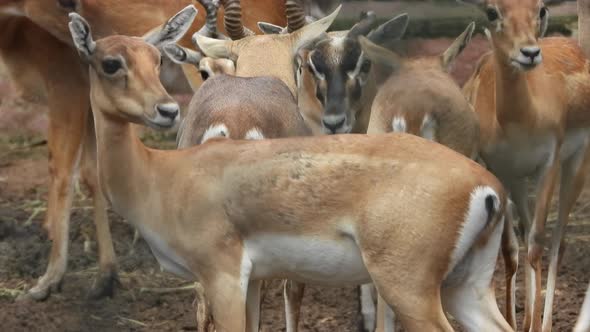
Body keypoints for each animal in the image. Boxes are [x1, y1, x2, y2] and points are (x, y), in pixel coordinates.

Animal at [0, 0, 290, 302]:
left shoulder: (66, 86)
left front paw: (47, 281)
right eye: (111, 63)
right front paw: (104, 277)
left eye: (158, 60)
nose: (168, 110)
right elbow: (92, 174)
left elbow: (62, 170)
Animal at [69, 11, 516, 330]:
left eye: (156, 58)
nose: (165, 110)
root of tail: (487, 189)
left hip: (416, 289)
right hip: (460, 287)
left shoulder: (231, 275)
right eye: (110, 62)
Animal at [460, 1, 590, 330]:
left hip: (576, 165)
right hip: (520, 182)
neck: (520, 120)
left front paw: (535, 325)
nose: (529, 52)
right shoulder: (501, 171)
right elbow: (510, 250)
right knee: (527, 229)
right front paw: (513, 321)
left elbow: (537, 244)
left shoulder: (549, 164)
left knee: (558, 241)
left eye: (541, 8)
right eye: (491, 11)